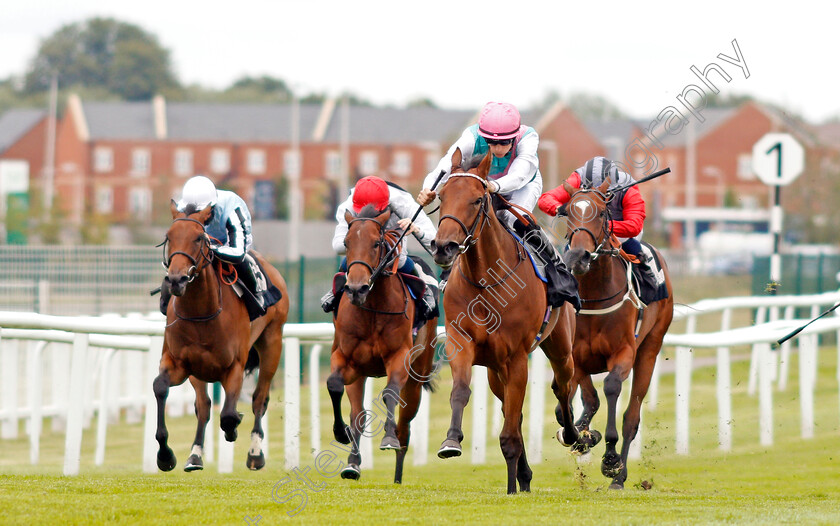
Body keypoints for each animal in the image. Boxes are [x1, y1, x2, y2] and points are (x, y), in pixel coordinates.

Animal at [154, 203, 288, 474]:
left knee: (260, 398)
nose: (176, 280)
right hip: (198, 372)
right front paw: (165, 455)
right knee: (204, 407)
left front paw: (234, 427)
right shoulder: (179, 364)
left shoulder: (234, 366)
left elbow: (228, 414)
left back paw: (255, 453)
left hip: (272, 342)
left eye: (198, 238)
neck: (201, 313)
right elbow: (160, 387)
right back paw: (195, 456)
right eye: (169, 236)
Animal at [324, 205, 436, 482]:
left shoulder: (399, 356)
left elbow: (389, 393)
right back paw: (352, 464)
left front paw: (388, 438)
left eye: (376, 243)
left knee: (405, 424)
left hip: (417, 377)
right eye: (346, 242)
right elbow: (334, 385)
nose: (356, 288)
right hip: (360, 374)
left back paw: (397, 473)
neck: (372, 309)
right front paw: (340, 432)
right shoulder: (346, 359)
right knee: (358, 414)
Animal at [434, 151, 576, 498]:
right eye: (442, 196)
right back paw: (524, 474)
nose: (443, 247)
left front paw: (512, 486)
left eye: (476, 199)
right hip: (495, 369)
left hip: (559, 348)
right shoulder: (462, 342)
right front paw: (451, 440)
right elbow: (461, 390)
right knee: (514, 408)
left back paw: (573, 435)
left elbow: (510, 429)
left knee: (562, 386)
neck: (486, 279)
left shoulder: (516, 357)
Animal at [560, 180, 672, 490]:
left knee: (631, 417)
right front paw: (583, 437)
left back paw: (619, 476)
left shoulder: (624, 352)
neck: (594, 295)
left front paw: (610, 459)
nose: (578, 258)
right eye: (568, 212)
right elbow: (588, 400)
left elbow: (610, 388)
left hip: (650, 349)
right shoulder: (577, 358)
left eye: (601, 213)